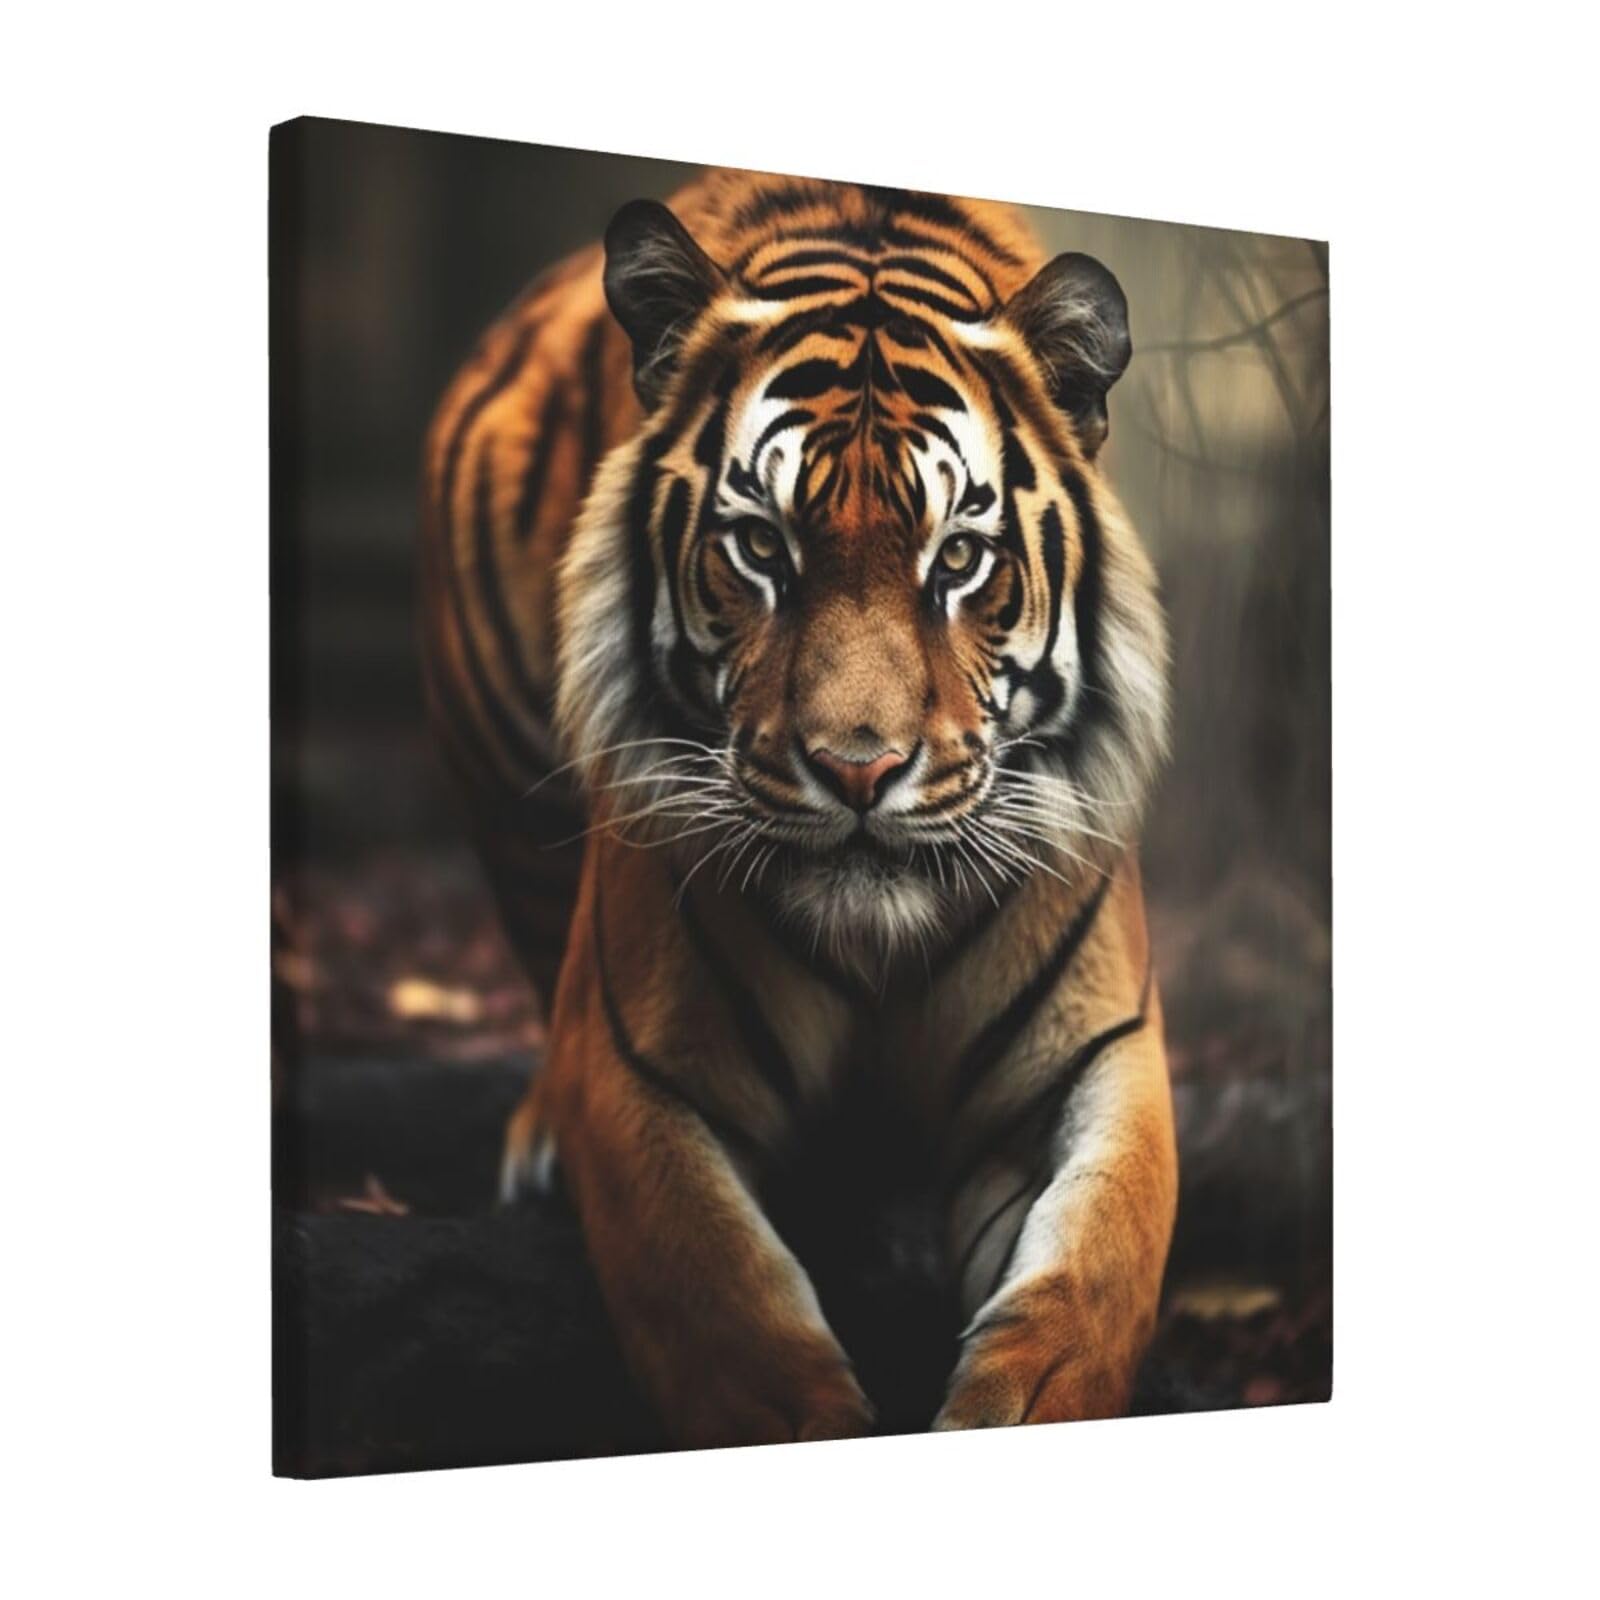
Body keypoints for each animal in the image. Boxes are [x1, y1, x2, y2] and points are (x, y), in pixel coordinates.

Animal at [420, 170, 1176, 1447]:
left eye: (958, 559)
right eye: (760, 547)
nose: (858, 769)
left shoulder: (1096, 1059)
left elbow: (1096, 1267)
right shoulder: (642, 1075)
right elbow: (729, 1314)